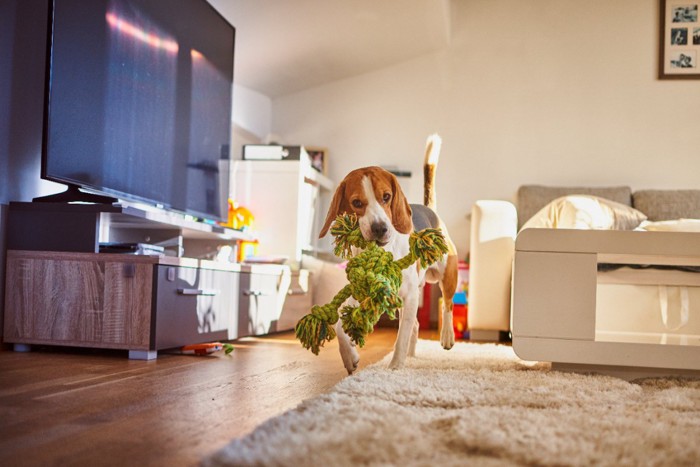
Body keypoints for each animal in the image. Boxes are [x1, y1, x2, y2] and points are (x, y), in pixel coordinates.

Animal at [318, 135, 460, 372]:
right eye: (357, 203)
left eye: (386, 197)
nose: (380, 228)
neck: (382, 251)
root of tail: (430, 210)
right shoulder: (363, 292)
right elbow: (338, 325)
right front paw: (350, 357)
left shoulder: (410, 295)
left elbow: (400, 338)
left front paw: (394, 367)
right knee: (415, 325)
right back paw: (411, 354)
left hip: (446, 273)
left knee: (447, 305)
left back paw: (447, 336)